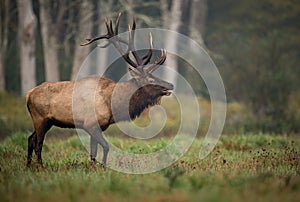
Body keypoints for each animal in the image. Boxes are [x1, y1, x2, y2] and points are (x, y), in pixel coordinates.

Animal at [25, 13, 173, 167]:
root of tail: (28, 94)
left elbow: (93, 152)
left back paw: (28, 165)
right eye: (150, 80)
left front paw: (94, 167)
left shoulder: (97, 127)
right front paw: (103, 166)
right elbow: (106, 147)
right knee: (38, 143)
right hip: (40, 118)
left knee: (30, 139)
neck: (112, 105)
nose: (170, 85)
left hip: (47, 121)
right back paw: (41, 167)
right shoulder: (90, 124)